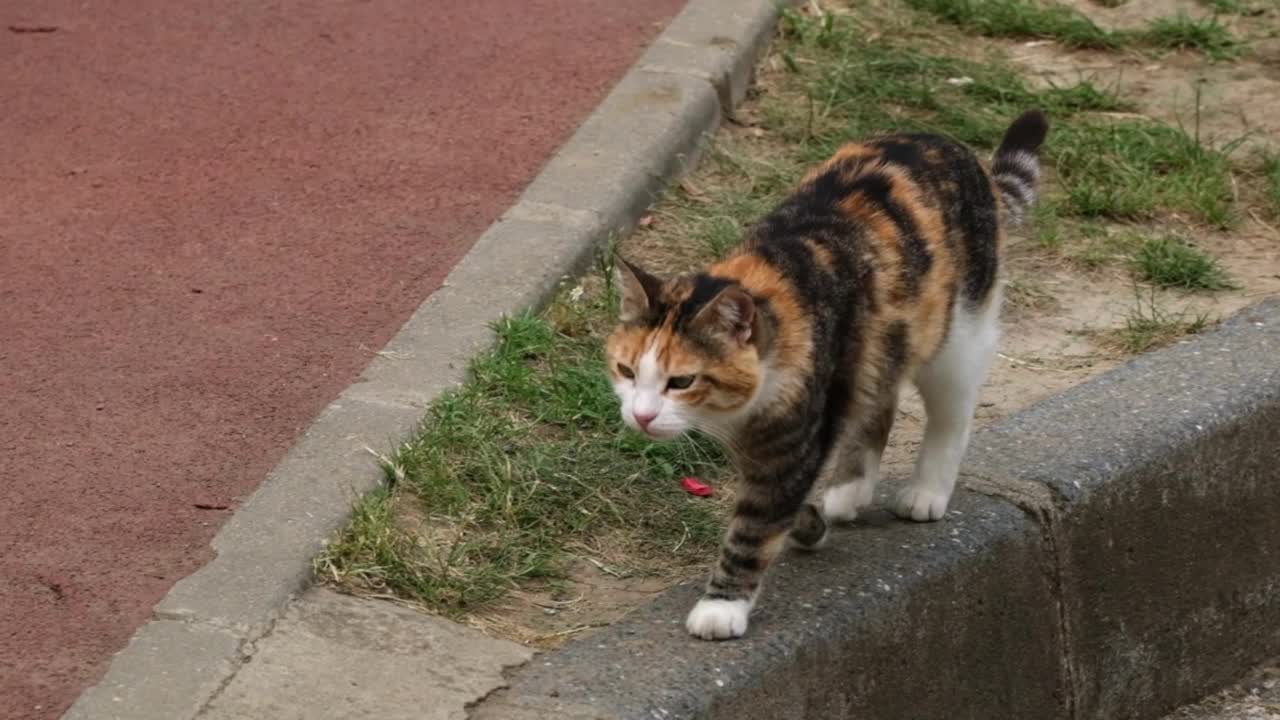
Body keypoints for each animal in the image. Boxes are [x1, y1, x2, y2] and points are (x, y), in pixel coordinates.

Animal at [609, 109, 1049, 635]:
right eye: (625, 370)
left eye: (681, 382)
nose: (641, 416)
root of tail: (953, 147)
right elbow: (780, 502)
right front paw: (810, 524)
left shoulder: (797, 437)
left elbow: (753, 527)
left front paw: (721, 606)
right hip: (884, 341)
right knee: (879, 397)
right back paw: (849, 489)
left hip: (956, 337)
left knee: (950, 416)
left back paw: (925, 491)